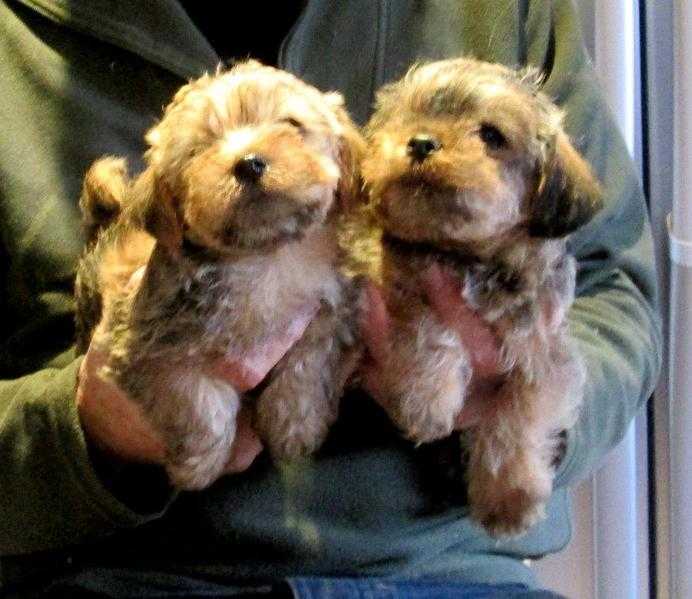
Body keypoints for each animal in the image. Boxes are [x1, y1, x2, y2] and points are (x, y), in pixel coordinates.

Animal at [77, 61, 362, 492]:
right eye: (199, 151)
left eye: (291, 125)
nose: (248, 162)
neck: (264, 258)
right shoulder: (147, 347)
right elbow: (195, 400)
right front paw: (199, 464)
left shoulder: (327, 314)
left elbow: (307, 365)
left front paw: (295, 426)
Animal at [360, 58, 604, 540]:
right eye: (408, 117)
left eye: (491, 135)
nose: (420, 141)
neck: (470, 257)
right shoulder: (401, 283)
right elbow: (427, 327)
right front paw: (427, 401)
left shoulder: (543, 356)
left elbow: (517, 421)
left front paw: (510, 498)